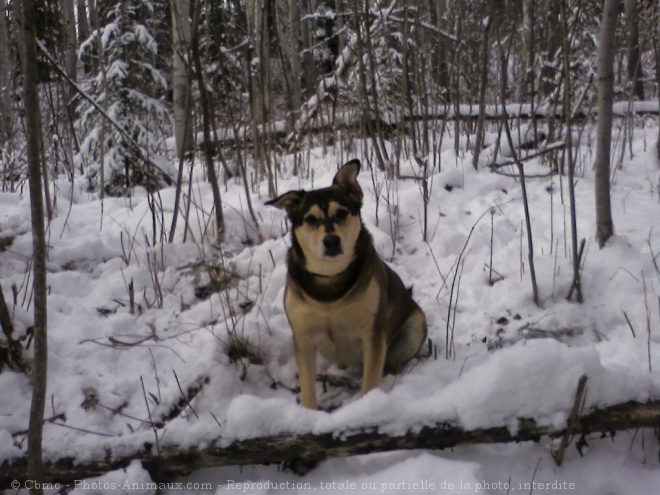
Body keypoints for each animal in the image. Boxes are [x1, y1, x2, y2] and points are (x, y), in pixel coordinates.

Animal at [266, 160, 428, 410]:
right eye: (310, 219)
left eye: (341, 213)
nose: (331, 241)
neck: (330, 281)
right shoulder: (302, 337)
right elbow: (307, 385)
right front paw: (309, 411)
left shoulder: (372, 333)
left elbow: (371, 379)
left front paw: (366, 405)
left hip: (414, 329)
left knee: (390, 364)